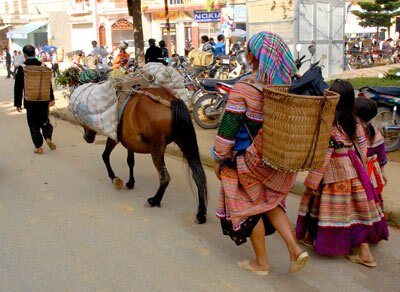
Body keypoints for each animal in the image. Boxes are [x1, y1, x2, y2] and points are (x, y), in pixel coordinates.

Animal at [81, 87, 206, 224]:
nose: (86, 137)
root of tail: (171, 100)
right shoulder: (130, 142)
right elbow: (130, 161)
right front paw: (130, 182)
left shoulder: (114, 138)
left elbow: (105, 156)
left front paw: (114, 178)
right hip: (184, 141)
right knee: (198, 175)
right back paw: (201, 212)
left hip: (157, 148)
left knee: (165, 176)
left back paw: (154, 200)